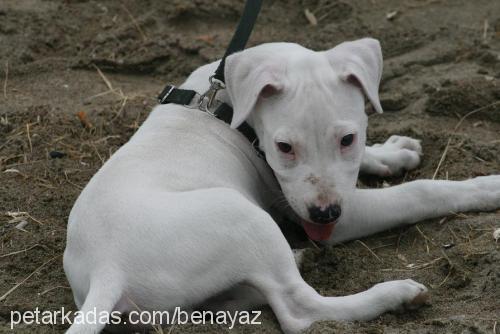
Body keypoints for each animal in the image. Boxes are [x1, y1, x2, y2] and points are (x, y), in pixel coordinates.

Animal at [62, 37, 500, 332]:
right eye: (283, 147)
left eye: (348, 138)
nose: (324, 214)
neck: (230, 104)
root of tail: (107, 270)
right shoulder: (333, 213)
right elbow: (420, 192)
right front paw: (487, 187)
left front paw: (392, 152)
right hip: (242, 216)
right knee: (299, 310)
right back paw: (394, 294)